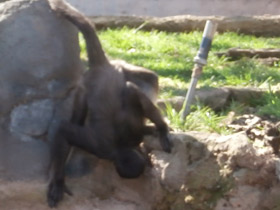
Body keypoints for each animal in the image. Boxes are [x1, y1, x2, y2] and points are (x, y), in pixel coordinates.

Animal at [47, 0, 172, 207]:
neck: (118, 148)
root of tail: (101, 66)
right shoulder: (100, 146)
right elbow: (64, 129)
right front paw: (57, 182)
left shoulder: (119, 141)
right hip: (92, 82)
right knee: (136, 85)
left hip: (106, 75)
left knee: (136, 85)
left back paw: (161, 127)